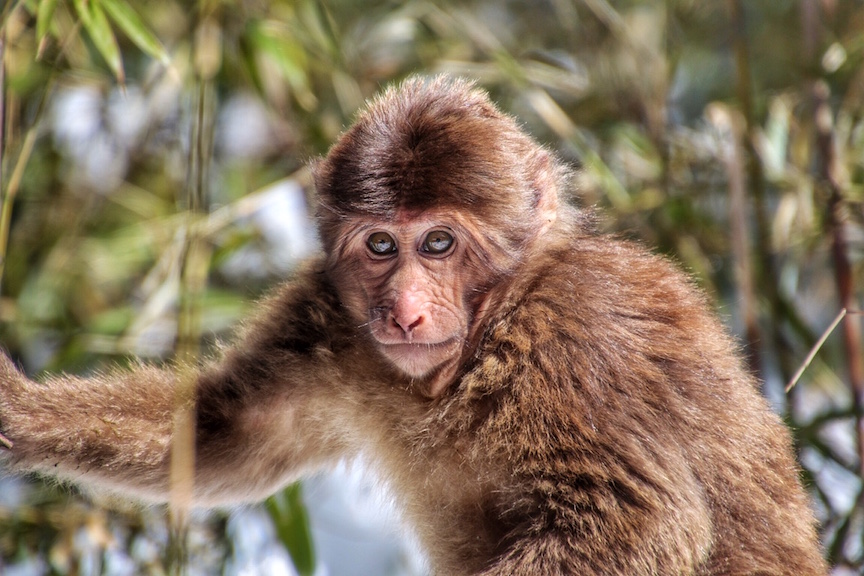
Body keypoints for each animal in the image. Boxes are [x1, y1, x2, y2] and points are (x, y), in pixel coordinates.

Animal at [0, 75, 832, 572]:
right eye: (380, 245)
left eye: (438, 243)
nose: (404, 309)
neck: (491, 337)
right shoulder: (329, 319)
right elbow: (225, 434)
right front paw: (16, 412)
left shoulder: (580, 341)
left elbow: (638, 523)